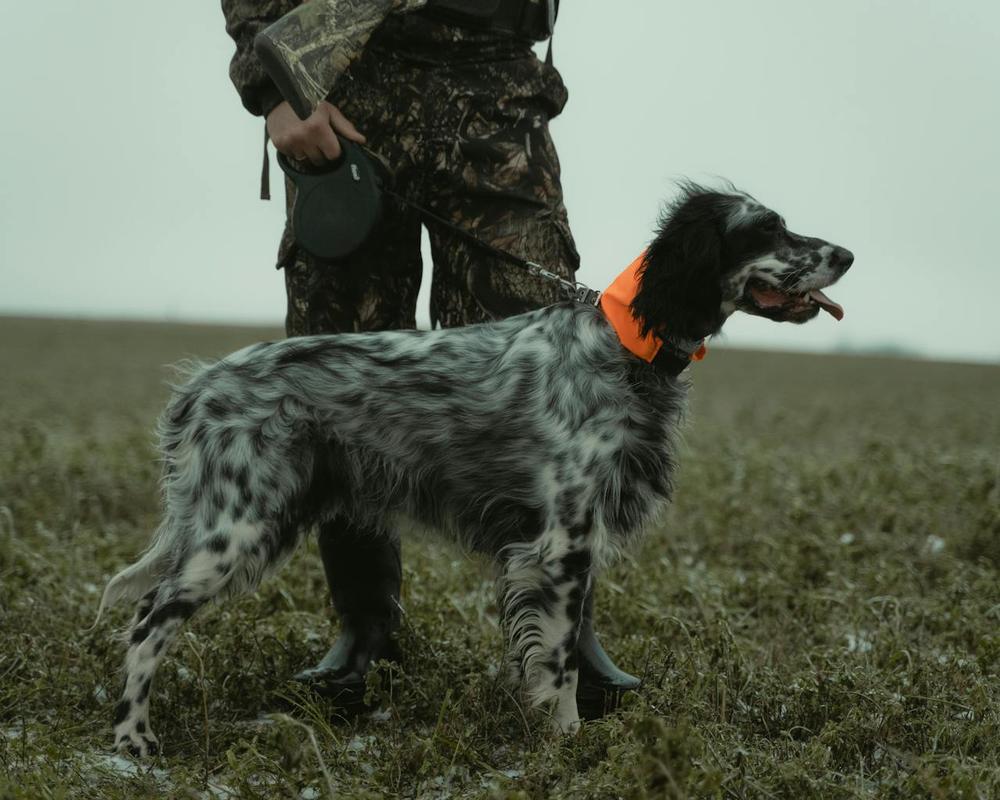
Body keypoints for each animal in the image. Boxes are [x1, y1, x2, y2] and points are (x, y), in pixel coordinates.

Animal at [99, 184, 852, 752]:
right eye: (767, 229)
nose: (847, 253)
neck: (623, 345)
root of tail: (202, 385)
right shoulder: (559, 545)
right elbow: (559, 658)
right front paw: (566, 740)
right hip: (239, 527)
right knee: (148, 617)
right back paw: (133, 741)